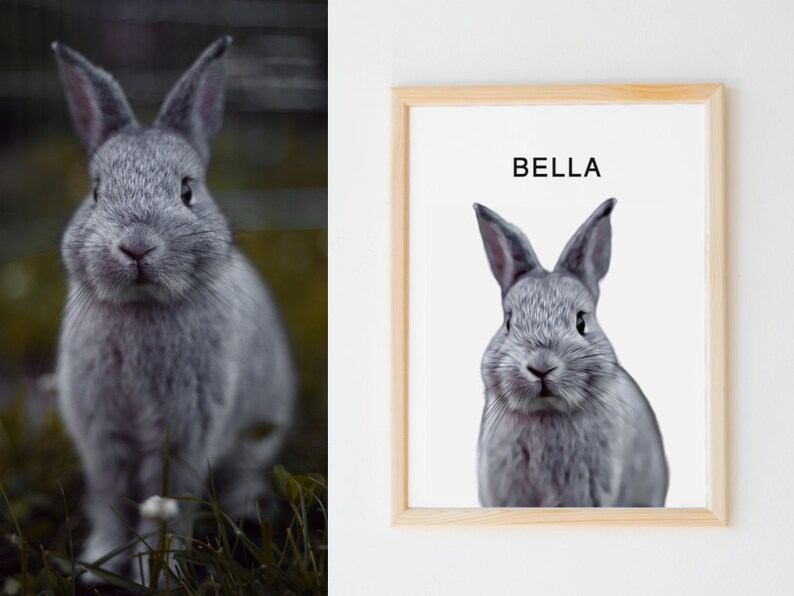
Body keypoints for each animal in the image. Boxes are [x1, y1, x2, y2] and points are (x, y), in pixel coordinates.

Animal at [52, 37, 296, 582]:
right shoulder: (102, 438)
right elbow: (110, 503)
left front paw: (157, 575)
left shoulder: (186, 434)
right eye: (96, 192)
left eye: (187, 191)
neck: (143, 306)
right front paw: (97, 566)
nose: (137, 247)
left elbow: (168, 506)